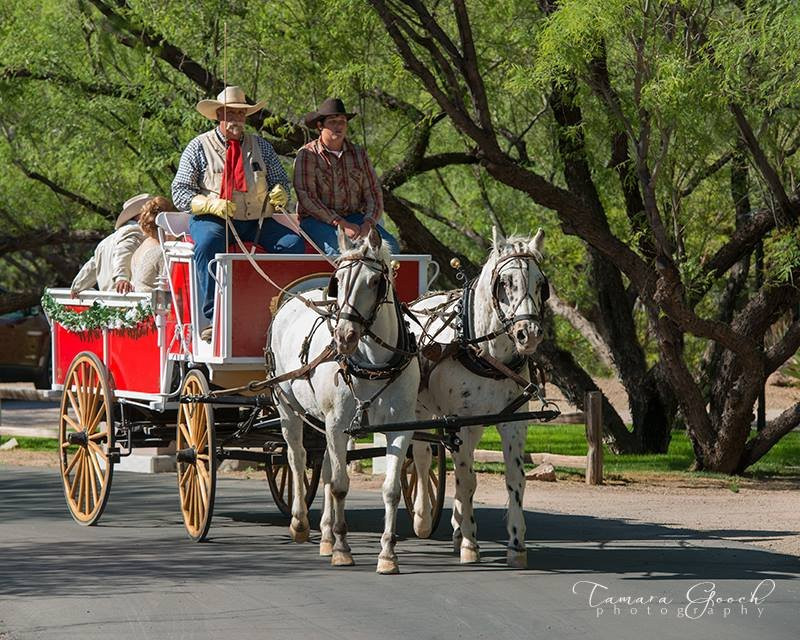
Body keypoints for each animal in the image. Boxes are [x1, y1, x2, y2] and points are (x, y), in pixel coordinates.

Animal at [268, 227, 420, 574]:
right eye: (337, 280)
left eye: (375, 281)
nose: (344, 337)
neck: (373, 363)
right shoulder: (337, 424)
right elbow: (339, 485)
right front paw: (342, 547)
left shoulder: (399, 426)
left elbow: (391, 489)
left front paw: (387, 554)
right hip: (288, 408)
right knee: (297, 459)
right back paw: (300, 523)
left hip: (322, 421)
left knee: (323, 466)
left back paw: (324, 534)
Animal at [408, 228, 548, 568]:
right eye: (505, 283)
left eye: (541, 283)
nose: (528, 333)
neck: (486, 353)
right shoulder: (461, 422)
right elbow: (466, 479)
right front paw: (471, 543)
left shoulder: (513, 422)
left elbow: (515, 479)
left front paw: (516, 544)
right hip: (420, 410)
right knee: (421, 458)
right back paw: (423, 518)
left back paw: (457, 526)